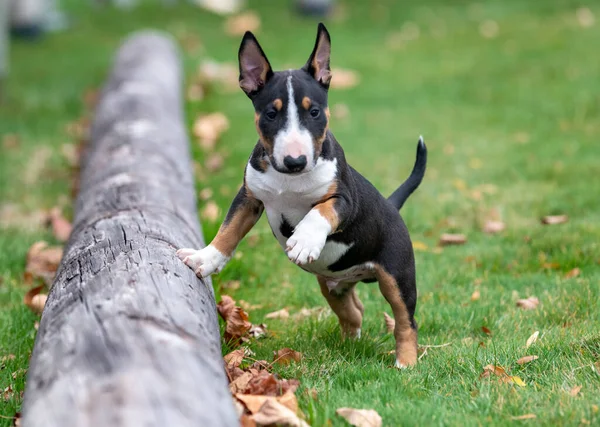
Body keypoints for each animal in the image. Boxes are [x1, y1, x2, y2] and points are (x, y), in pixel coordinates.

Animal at [178, 23, 426, 370]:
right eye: (271, 114)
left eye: (315, 112)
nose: (295, 161)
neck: (290, 180)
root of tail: (392, 205)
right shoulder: (250, 197)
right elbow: (229, 230)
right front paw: (204, 258)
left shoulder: (345, 200)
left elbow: (321, 211)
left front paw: (304, 241)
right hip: (333, 284)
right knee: (354, 310)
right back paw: (347, 345)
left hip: (397, 275)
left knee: (406, 319)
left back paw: (406, 362)